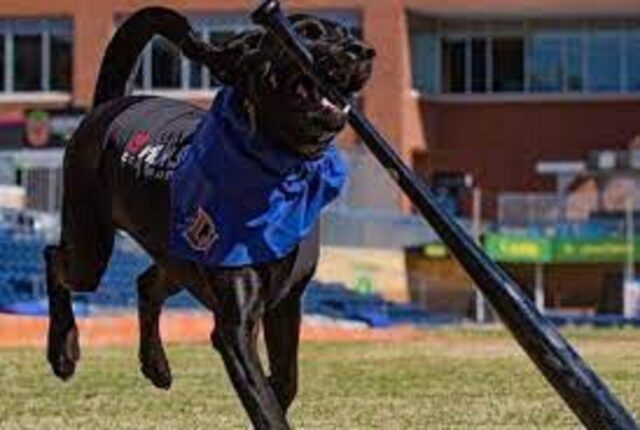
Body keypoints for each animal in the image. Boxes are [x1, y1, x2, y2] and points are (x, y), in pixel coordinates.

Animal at [47, 7, 376, 430]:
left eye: (347, 33)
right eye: (305, 32)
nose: (363, 51)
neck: (277, 167)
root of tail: (106, 108)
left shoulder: (288, 302)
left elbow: (285, 381)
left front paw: (274, 387)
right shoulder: (235, 324)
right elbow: (266, 403)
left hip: (176, 257)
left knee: (146, 284)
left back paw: (156, 365)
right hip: (90, 246)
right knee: (55, 260)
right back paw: (62, 351)